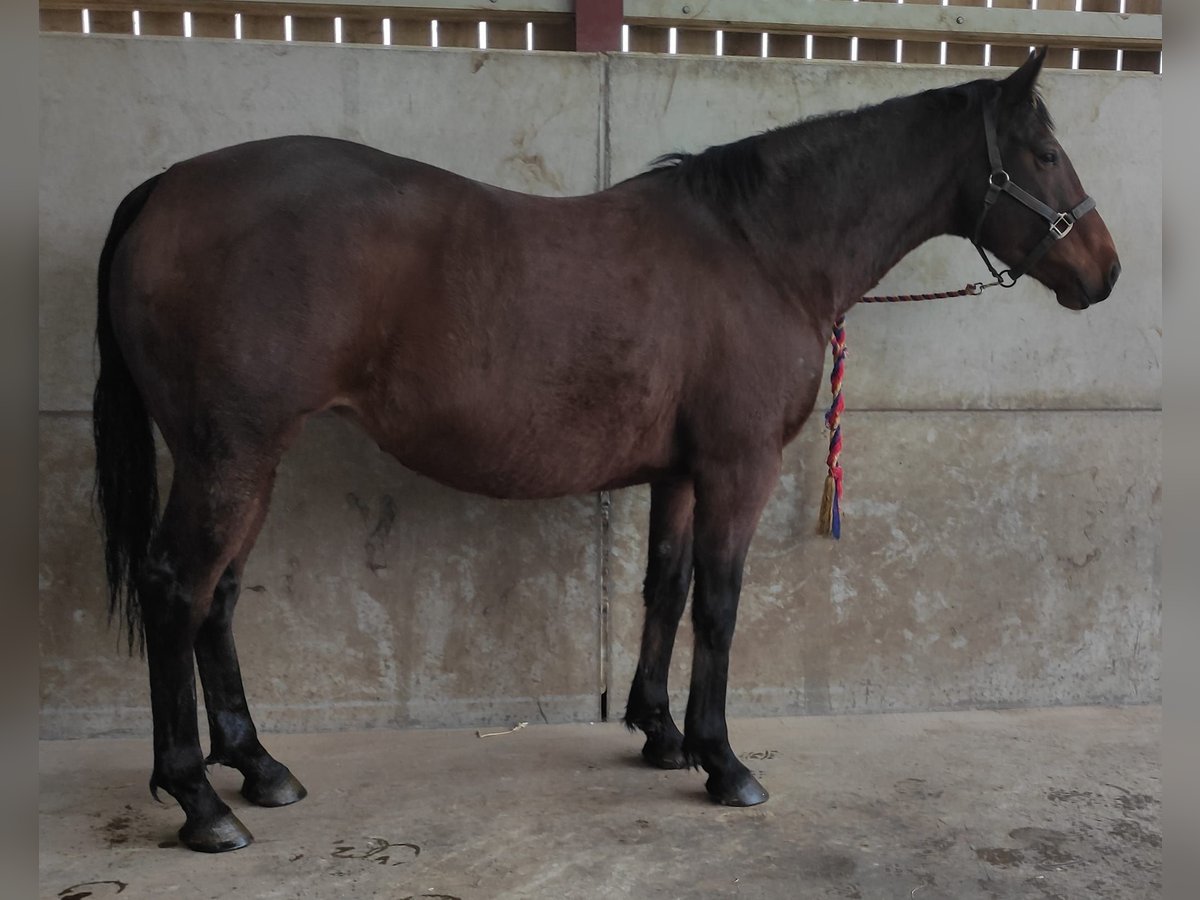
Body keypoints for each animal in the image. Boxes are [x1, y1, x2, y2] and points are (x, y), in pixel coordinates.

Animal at [91, 49, 1113, 854]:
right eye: (1045, 154)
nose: (1105, 271)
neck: (760, 251)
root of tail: (167, 186)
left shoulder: (680, 472)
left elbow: (664, 587)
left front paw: (659, 733)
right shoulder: (738, 467)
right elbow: (719, 605)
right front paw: (723, 760)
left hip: (245, 458)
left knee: (218, 596)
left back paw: (258, 766)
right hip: (232, 454)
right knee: (178, 589)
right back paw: (199, 801)